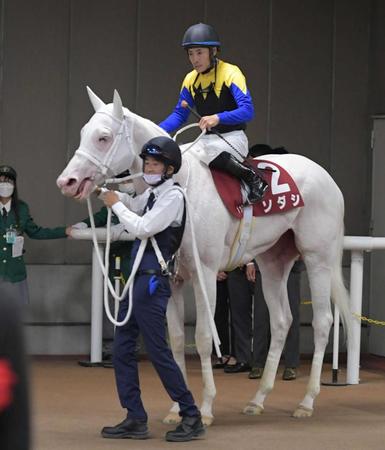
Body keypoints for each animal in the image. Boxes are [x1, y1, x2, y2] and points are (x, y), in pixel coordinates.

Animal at [56, 88, 352, 426]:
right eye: (84, 133)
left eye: (103, 137)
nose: (67, 182)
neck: (182, 187)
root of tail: (327, 178)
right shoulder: (173, 277)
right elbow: (174, 340)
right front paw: (177, 408)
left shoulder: (206, 274)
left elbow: (204, 337)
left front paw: (207, 408)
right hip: (273, 262)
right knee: (281, 322)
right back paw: (258, 400)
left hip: (318, 258)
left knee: (322, 322)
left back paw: (306, 401)